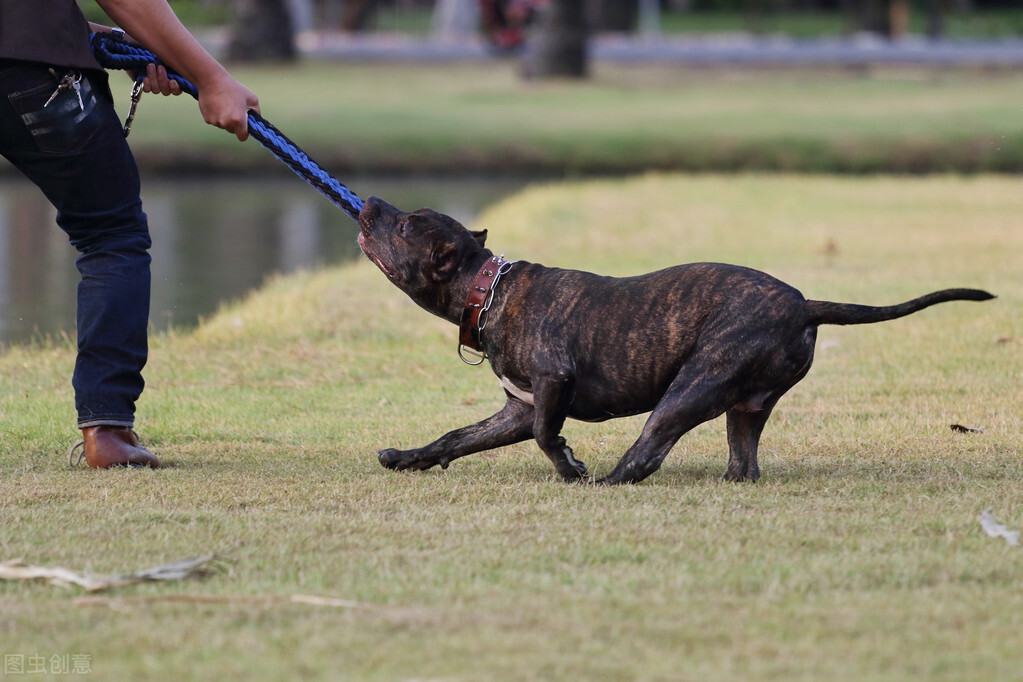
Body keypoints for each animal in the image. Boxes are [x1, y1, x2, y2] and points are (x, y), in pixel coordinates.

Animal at [358, 194, 990, 484]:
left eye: (405, 225)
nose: (370, 204)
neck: (487, 288)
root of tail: (802, 304)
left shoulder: (552, 385)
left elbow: (544, 435)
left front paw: (569, 466)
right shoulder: (518, 405)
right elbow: (457, 436)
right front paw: (408, 458)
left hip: (691, 388)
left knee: (648, 451)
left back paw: (605, 481)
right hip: (743, 404)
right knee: (743, 461)